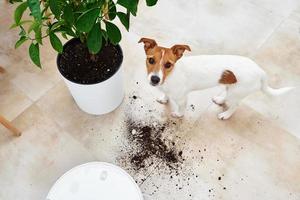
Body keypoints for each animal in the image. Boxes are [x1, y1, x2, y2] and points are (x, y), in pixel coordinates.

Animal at [139, 37, 294, 119]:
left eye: (168, 64)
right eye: (151, 60)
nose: (155, 79)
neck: (171, 75)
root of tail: (260, 70)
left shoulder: (182, 98)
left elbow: (181, 109)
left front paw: (178, 114)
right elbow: (166, 95)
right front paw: (164, 98)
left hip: (237, 93)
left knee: (235, 105)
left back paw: (225, 115)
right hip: (231, 86)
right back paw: (220, 99)